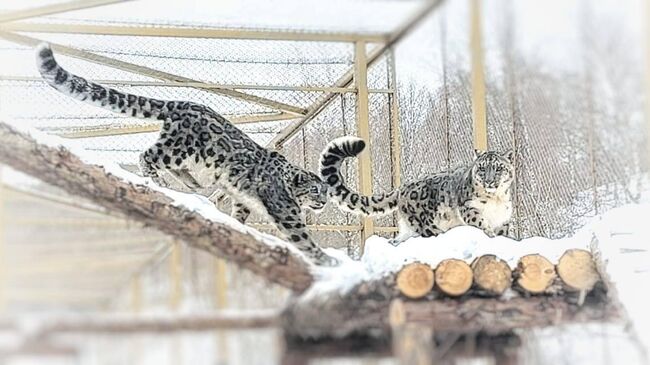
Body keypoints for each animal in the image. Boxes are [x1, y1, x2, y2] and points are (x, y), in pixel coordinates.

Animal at [35, 44, 340, 266]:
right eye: (316, 190)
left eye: (327, 191)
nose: (324, 202)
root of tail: (179, 103)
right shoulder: (285, 209)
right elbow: (301, 235)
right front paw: (325, 259)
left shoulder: (242, 198)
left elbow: (239, 213)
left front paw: (235, 225)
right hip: (181, 148)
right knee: (148, 155)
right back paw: (160, 182)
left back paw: (193, 184)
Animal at [318, 136, 512, 245]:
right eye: (482, 168)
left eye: (498, 168)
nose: (489, 180)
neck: (496, 199)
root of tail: (403, 188)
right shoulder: (469, 208)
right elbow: (480, 221)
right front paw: (489, 235)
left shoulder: (503, 219)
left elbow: (502, 232)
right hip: (426, 223)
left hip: (408, 228)